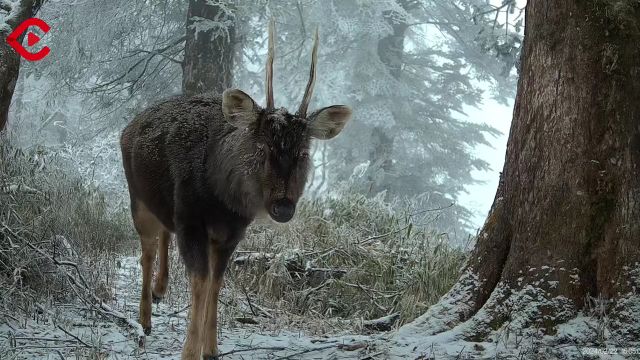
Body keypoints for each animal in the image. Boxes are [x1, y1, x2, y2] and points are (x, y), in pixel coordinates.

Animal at [120, 21, 350, 358]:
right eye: (262, 147)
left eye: (303, 153)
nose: (283, 206)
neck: (222, 198)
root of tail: (131, 124)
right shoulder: (191, 219)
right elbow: (201, 281)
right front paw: (190, 350)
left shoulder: (233, 232)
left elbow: (216, 283)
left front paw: (212, 348)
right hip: (137, 197)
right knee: (146, 249)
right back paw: (145, 318)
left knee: (163, 231)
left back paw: (160, 290)